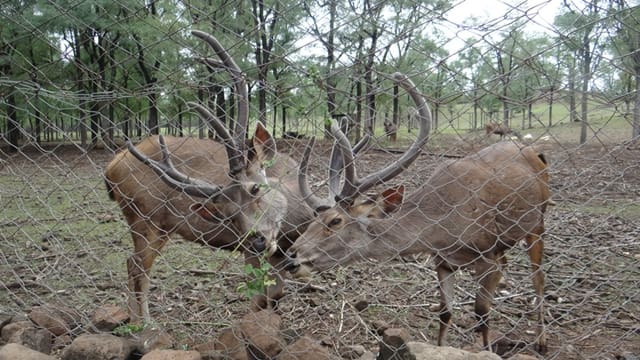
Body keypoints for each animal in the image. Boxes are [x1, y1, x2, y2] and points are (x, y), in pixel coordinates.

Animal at [288, 88, 552, 352]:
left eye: (335, 221)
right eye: (314, 218)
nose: (291, 256)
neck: (444, 230)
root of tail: (538, 153)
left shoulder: (488, 256)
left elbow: (482, 312)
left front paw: (487, 350)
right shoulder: (442, 260)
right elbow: (445, 312)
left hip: (538, 221)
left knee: (539, 278)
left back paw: (541, 342)